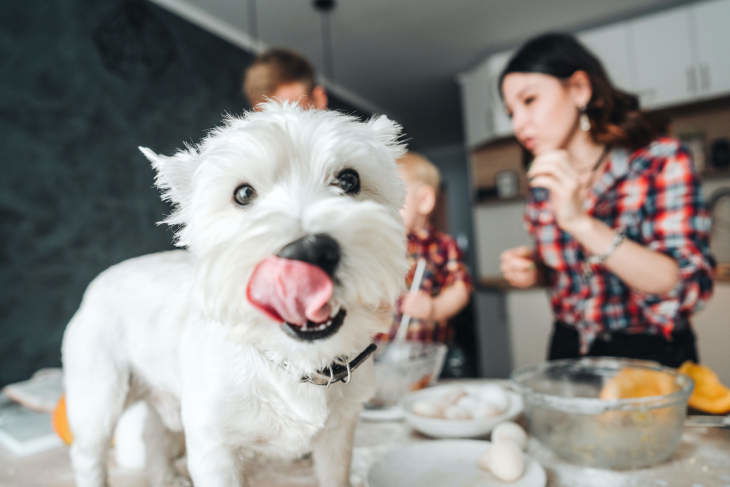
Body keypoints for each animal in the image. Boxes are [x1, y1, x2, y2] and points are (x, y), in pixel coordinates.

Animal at [59, 101, 406, 486]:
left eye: (349, 179)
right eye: (243, 194)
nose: (309, 252)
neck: (293, 360)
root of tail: (97, 282)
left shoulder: (338, 435)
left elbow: (335, 475)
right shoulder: (214, 447)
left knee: (154, 433)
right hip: (98, 396)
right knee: (88, 453)